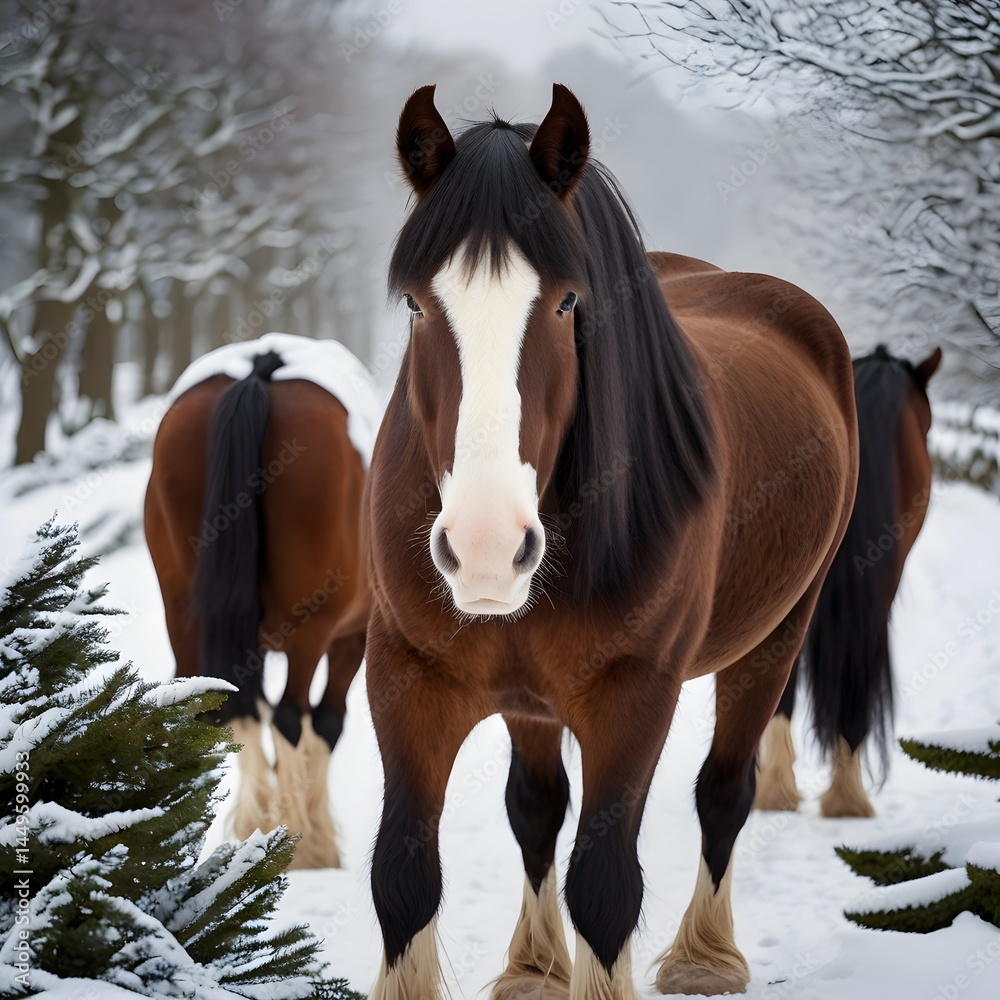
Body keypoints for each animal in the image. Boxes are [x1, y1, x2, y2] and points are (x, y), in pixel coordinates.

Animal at [144, 332, 379, 869]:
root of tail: (259, 370)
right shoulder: (351, 637)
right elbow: (325, 724)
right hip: (309, 629)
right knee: (292, 717)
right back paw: (299, 846)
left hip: (184, 615)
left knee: (220, 706)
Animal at [364, 83, 859, 999]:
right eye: (417, 302)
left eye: (566, 302)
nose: (485, 549)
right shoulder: (408, 677)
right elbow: (404, 880)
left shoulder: (633, 695)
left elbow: (605, 888)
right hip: (527, 699)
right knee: (535, 810)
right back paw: (533, 965)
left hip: (776, 637)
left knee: (724, 793)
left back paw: (705, 957)